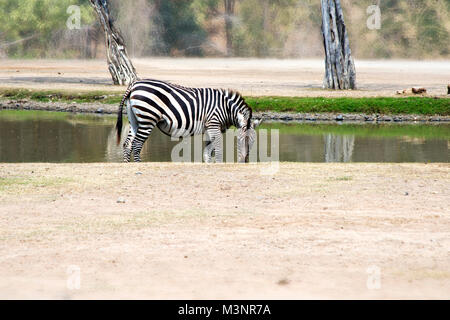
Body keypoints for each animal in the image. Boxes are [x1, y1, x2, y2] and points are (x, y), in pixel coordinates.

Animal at [115, 78, 264, 162]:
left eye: (252, 141)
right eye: (241, 139)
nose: (245, 161)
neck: (226, 108)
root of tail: (134, 84)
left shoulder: (209, 129)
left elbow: (207, 152)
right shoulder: (213, 124)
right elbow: (218, 149)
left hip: (135, 119)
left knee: (127, 144)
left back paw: (128, 166)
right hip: (148, 119)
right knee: (136, 144)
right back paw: (138, 165)